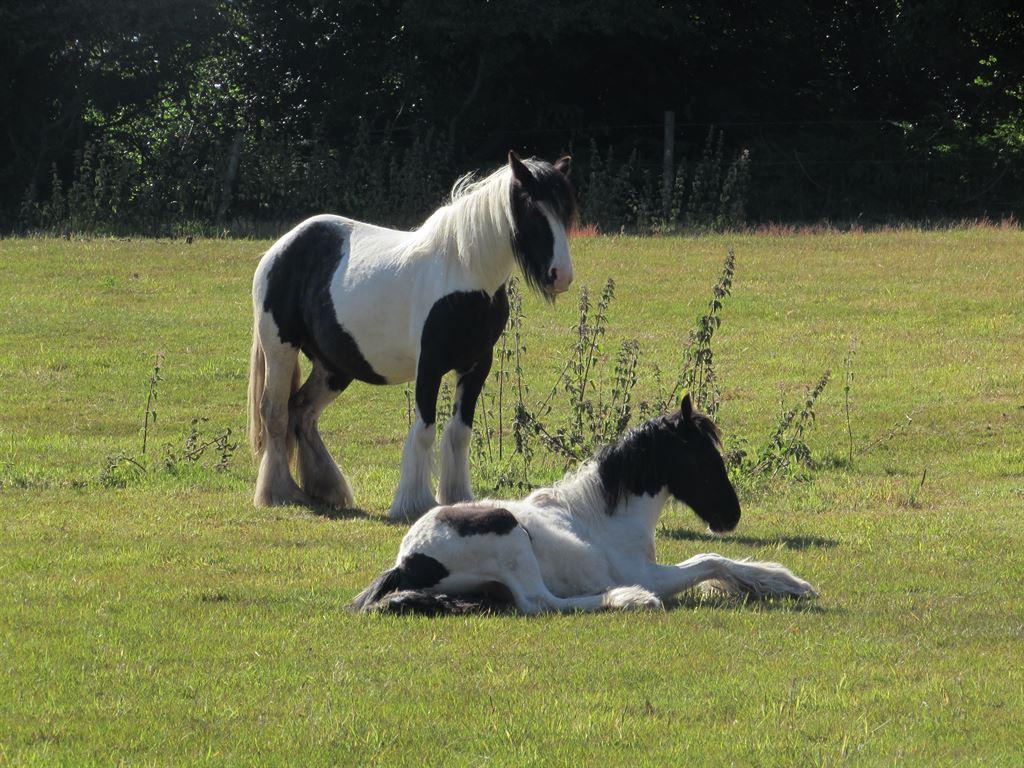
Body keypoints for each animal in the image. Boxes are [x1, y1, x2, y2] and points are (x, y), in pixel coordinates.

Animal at [248, 152, 575, 520]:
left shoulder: (477, 365)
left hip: (334, 367)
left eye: (565, 210)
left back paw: (326, 489)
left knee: (302, 411)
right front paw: (413, 502)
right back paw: (279, 492)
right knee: (275, 413)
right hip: (280, 348)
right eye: (532, 209)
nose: (561, 275)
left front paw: (457, 496)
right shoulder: (429, 365)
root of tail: (281, 248)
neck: (464, 273)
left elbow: (459, 432)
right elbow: (425, 430)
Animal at [351, 394, 817, 614]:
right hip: (511, 538)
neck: (604, 517)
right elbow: (710, 561)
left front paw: (786, 584)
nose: (730, 516)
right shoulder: (650, 572)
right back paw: (629, 599)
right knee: (540, 603)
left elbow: (716, 560)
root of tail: (407, 561)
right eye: (703, 457)